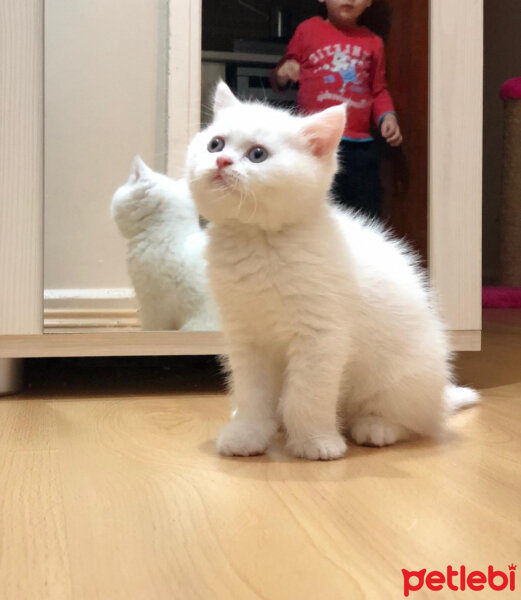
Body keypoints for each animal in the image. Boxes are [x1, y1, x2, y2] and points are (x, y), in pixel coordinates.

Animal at [185, 83, 478, 460]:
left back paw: (375, 426)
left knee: (414, 421)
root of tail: (441, 394)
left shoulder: (320, 337)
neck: (257, 241)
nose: (221, 161)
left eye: (258, 154)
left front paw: (315, 442)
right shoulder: (247, 339)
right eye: (215, 144)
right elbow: (253, 394)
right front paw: (247, 434)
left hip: (402, 376)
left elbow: (307, 396)